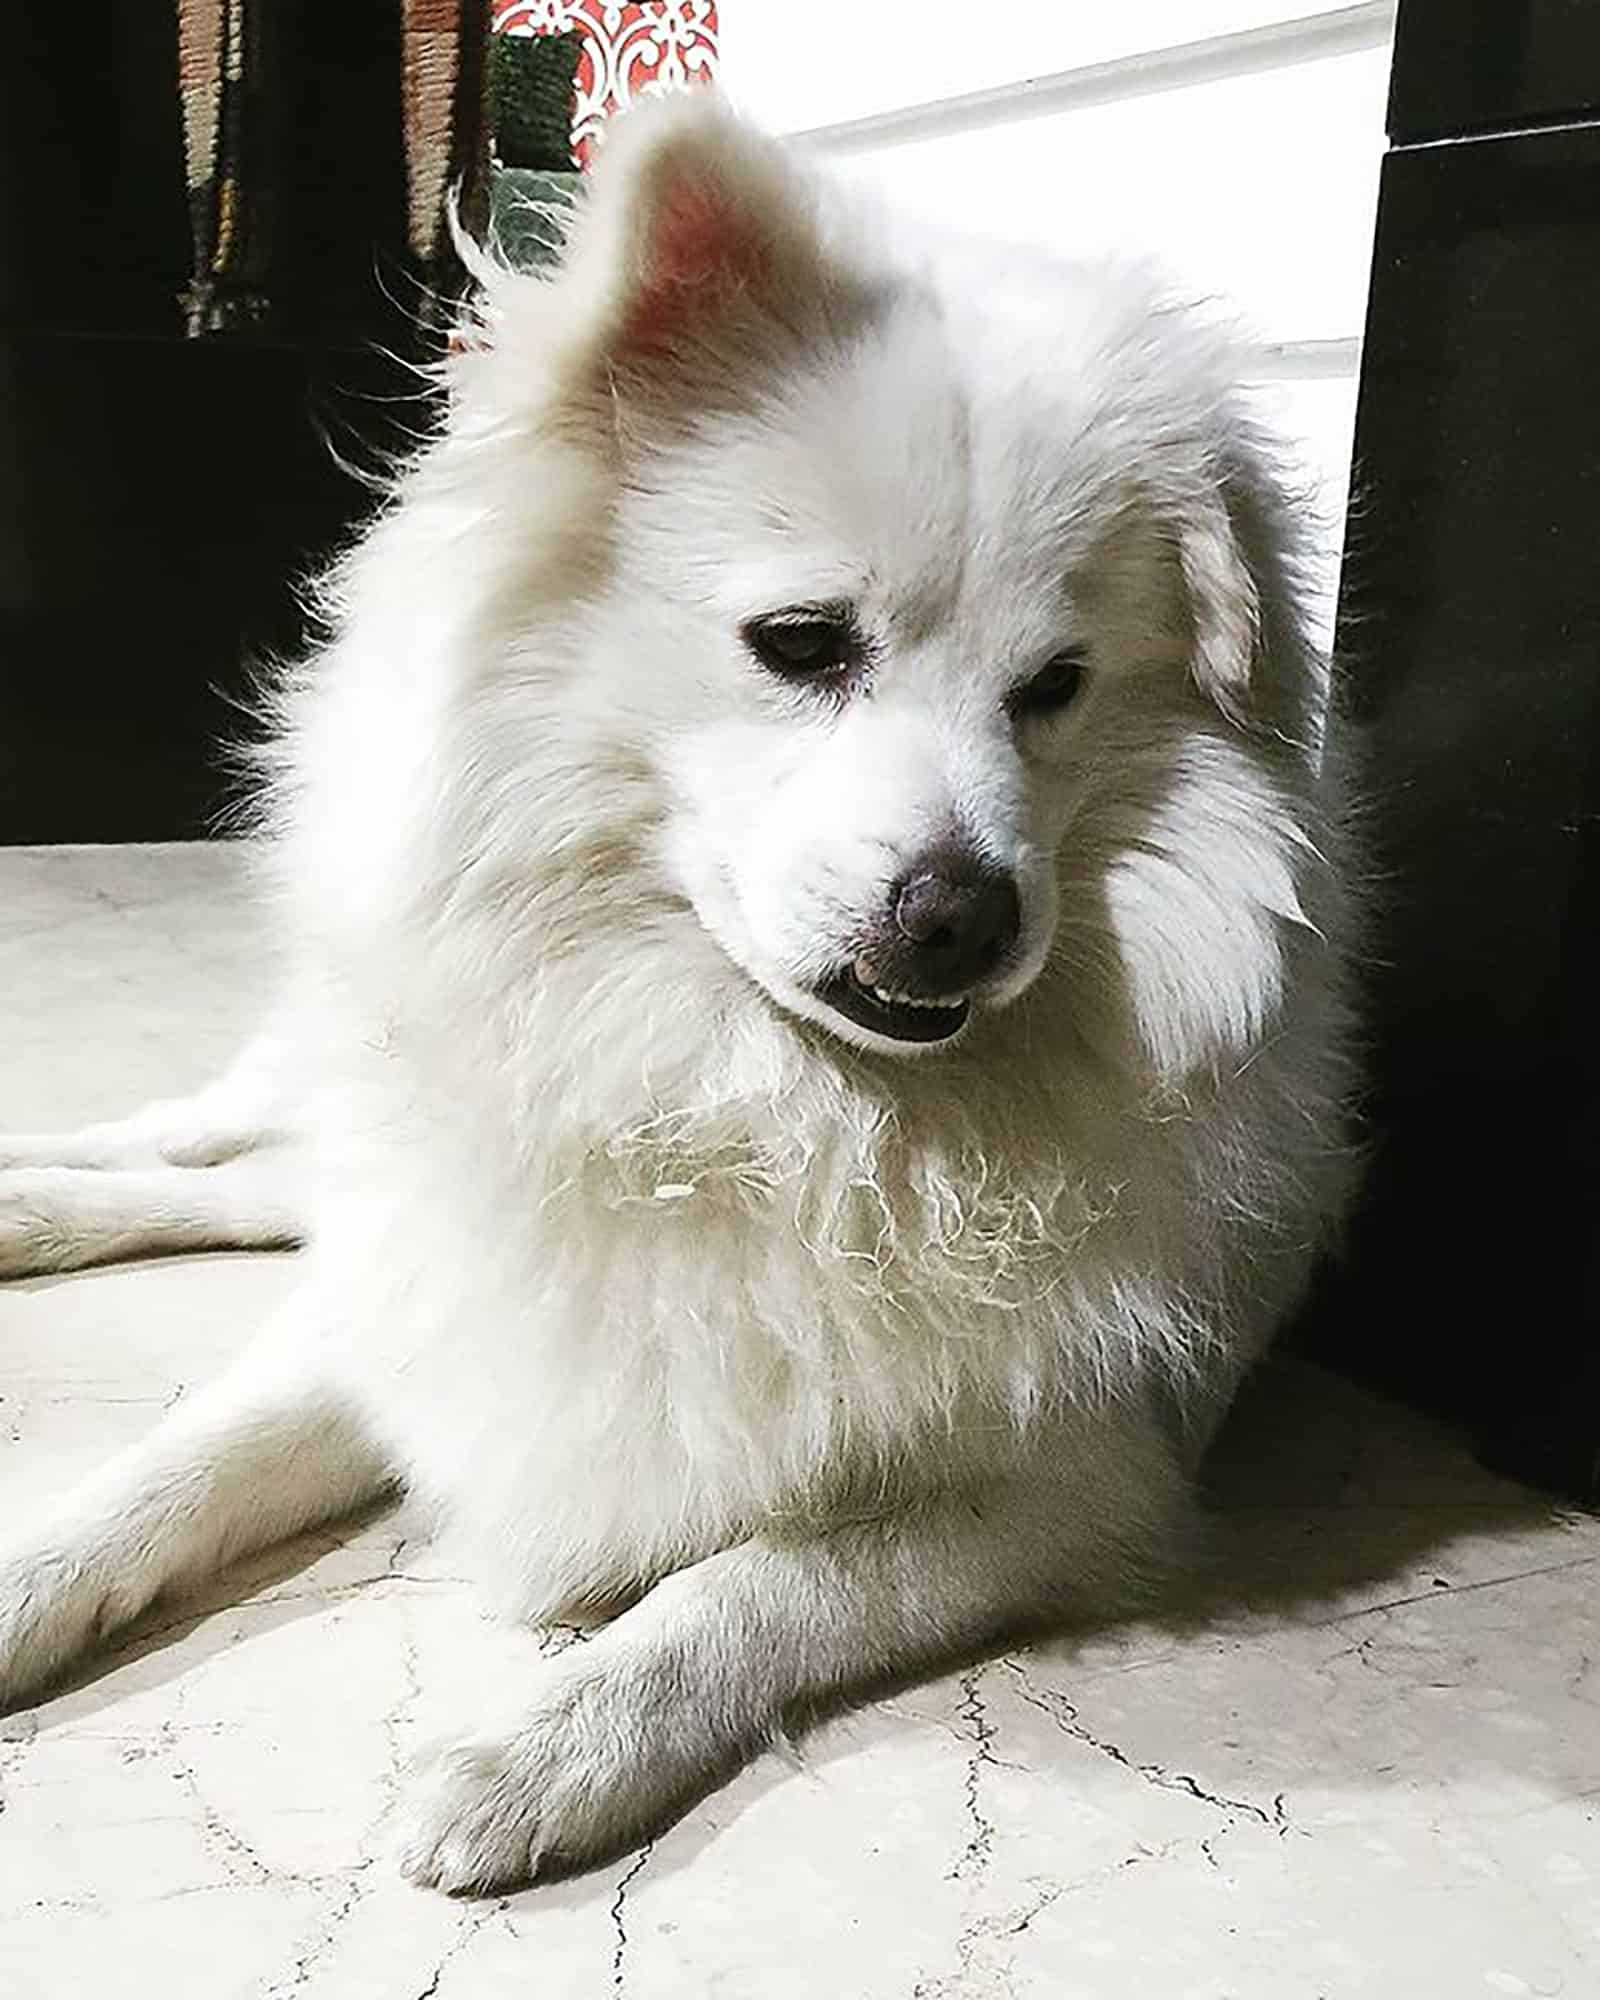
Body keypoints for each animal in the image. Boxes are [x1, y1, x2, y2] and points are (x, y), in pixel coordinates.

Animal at [0, 94, 1352, 1888]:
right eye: (802, 641)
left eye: (1057, 687)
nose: (965, 918)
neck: (735, 1097)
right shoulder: (429, 1304)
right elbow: (171, 1466)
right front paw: (33, 1577)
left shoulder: (1072, 1483)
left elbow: (746, 1588)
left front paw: (532, 1760)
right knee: (201, 1147)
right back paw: (33, 1193)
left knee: (248, 1193)